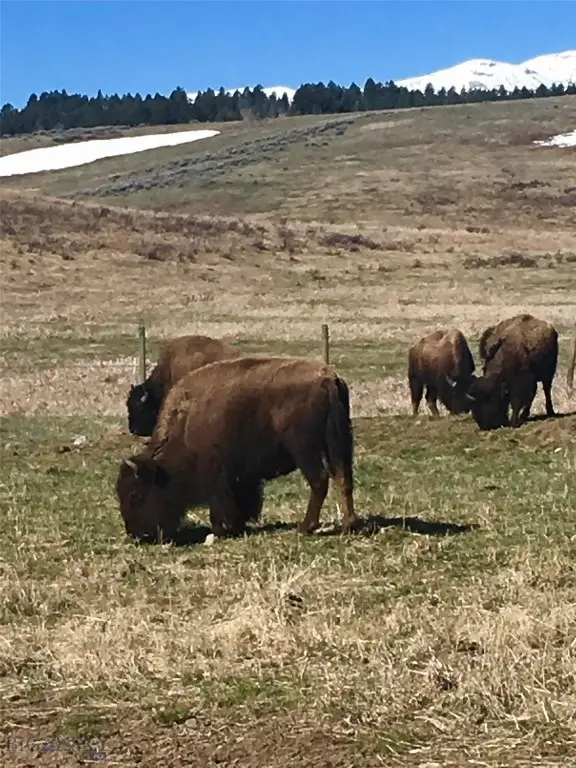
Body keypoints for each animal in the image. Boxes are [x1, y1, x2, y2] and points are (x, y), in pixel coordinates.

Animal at [116, 356, 359, 543]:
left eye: (135, 494)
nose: (137, 535)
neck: (185, 423)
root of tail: (328, 379)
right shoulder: (241, 477)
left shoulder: (216, 474)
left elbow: (220, 503)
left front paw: (220, 531)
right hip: (339, 443)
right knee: (343, 479)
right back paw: (349, 525)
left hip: (305, 450)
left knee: (320, 481)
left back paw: (306, 526)